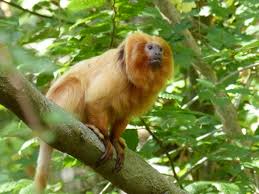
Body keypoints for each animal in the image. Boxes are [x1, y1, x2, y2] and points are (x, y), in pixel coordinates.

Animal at [34, 31, 173, 192]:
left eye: (160, 49)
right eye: (150, 47)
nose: (158, 53)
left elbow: (124, 114)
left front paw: (114, 139)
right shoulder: (115, 75)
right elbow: (95, 100)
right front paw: (106, 139)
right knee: (75, 85)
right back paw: (88, 126)